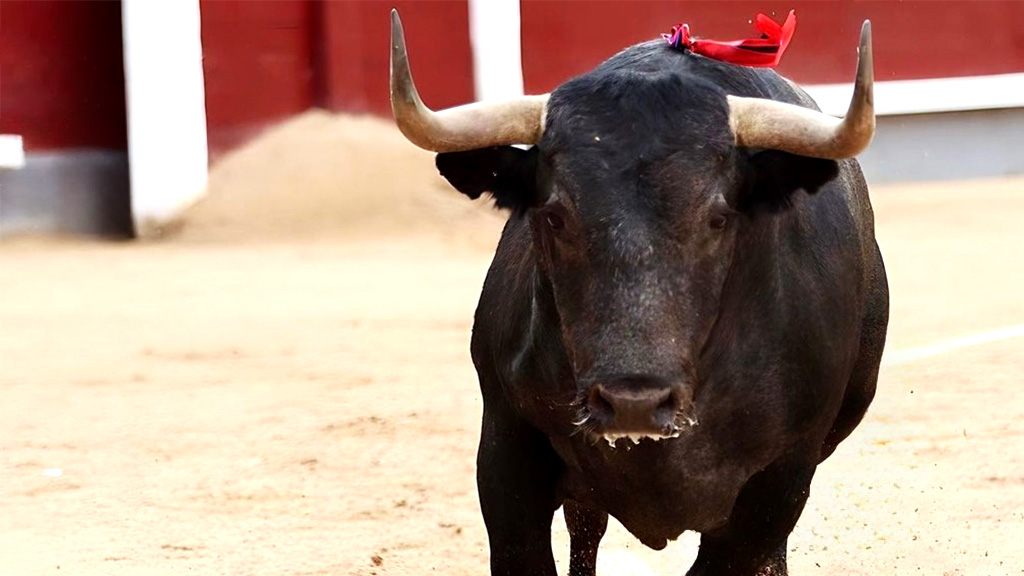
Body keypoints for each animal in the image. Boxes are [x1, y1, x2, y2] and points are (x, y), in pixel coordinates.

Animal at [399, 23, 888, 573]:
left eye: (718, 216)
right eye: (554, 216)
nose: (633, 403)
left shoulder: (781, 480)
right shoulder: (506, 453)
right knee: (585, 529)